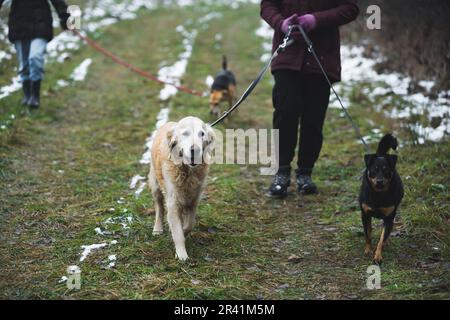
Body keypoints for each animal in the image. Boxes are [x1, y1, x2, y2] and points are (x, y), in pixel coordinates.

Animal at [149, 116, 215, 262]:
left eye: (202, 133)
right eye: (185, 133)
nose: (195, 150)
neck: (187, 171)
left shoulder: (194, 199)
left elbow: (189, 224)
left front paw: (184, 231)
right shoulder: (173, 202)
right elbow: (177, 231)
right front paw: (181, 255)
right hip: (155, 184)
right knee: (159, 207)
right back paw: (157, 228)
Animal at [358, 133, 404, 264]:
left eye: (386, 170)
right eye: (374, 170)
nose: (379, 181)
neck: (378, 194)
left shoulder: (389, 218)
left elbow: (382, 239)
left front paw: (378, 255)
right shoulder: (365, 215)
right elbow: (367, 234)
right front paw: (368, 250)